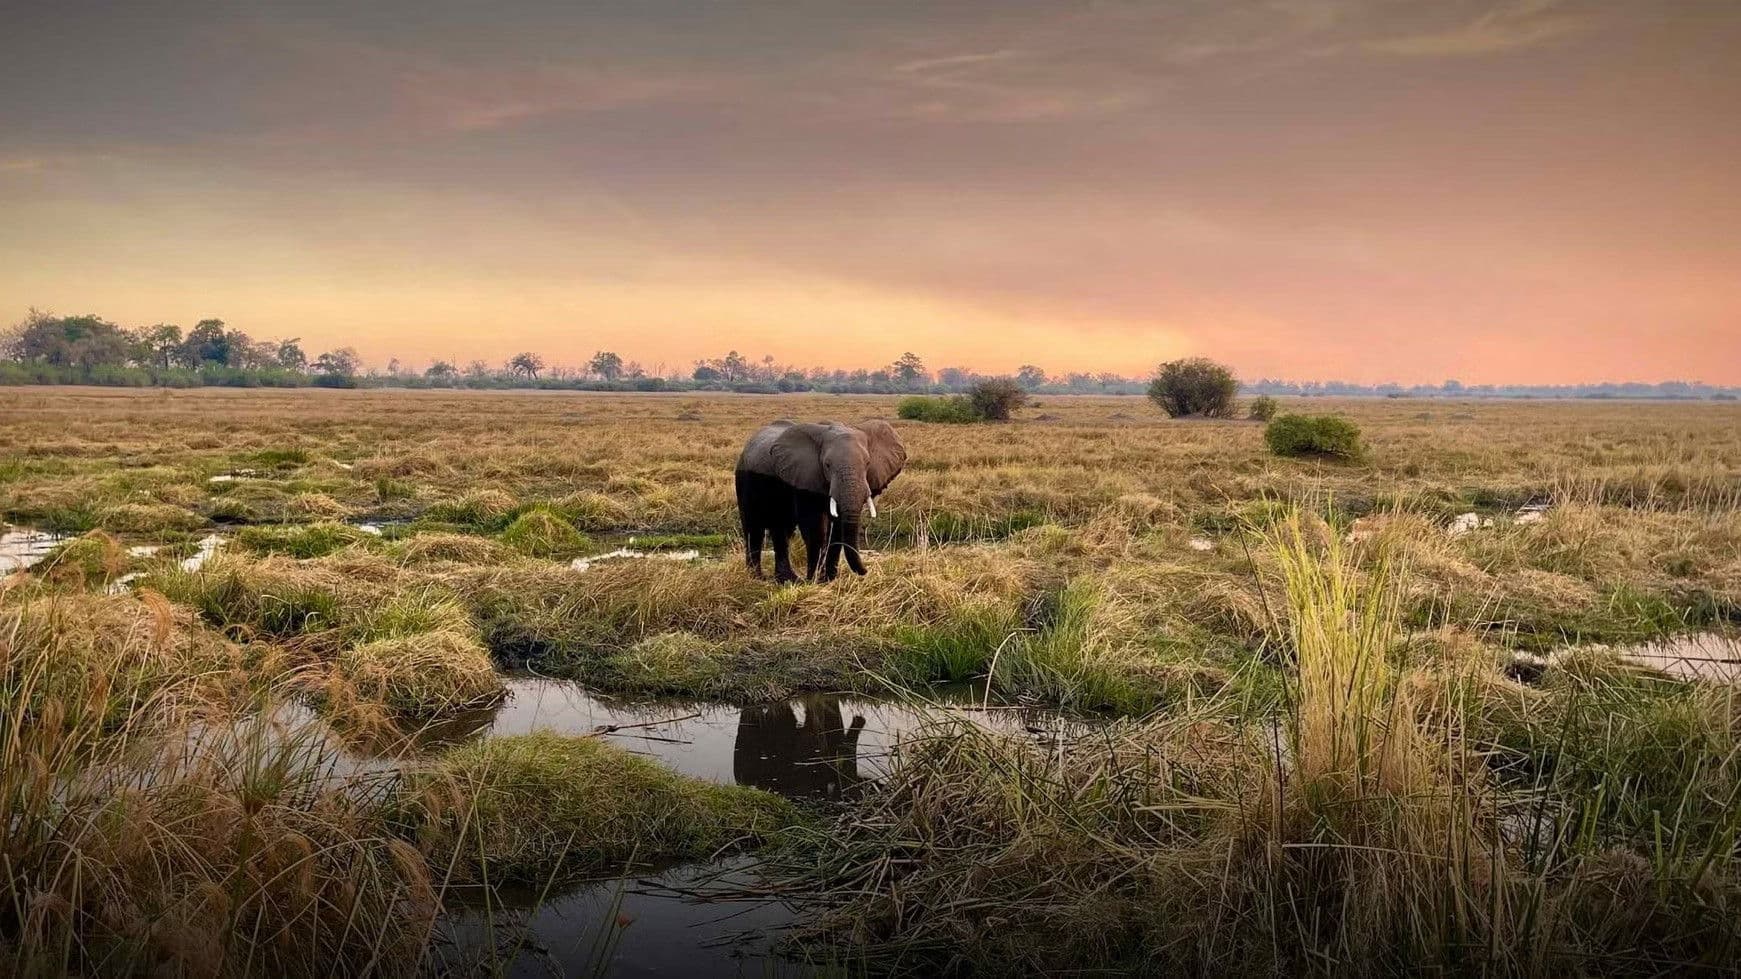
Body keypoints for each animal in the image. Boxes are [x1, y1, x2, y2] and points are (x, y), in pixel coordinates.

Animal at [734, 419, 906, 583]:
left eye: (868, 463)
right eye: (827, 465)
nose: (866, 571)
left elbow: (836, 530)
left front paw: (827, 580)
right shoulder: (805, 479)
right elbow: (814, 527)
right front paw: (813, 581)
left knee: (782, 529)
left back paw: (786, 579)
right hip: (743, 481)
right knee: (754, 528)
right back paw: (759, 578)